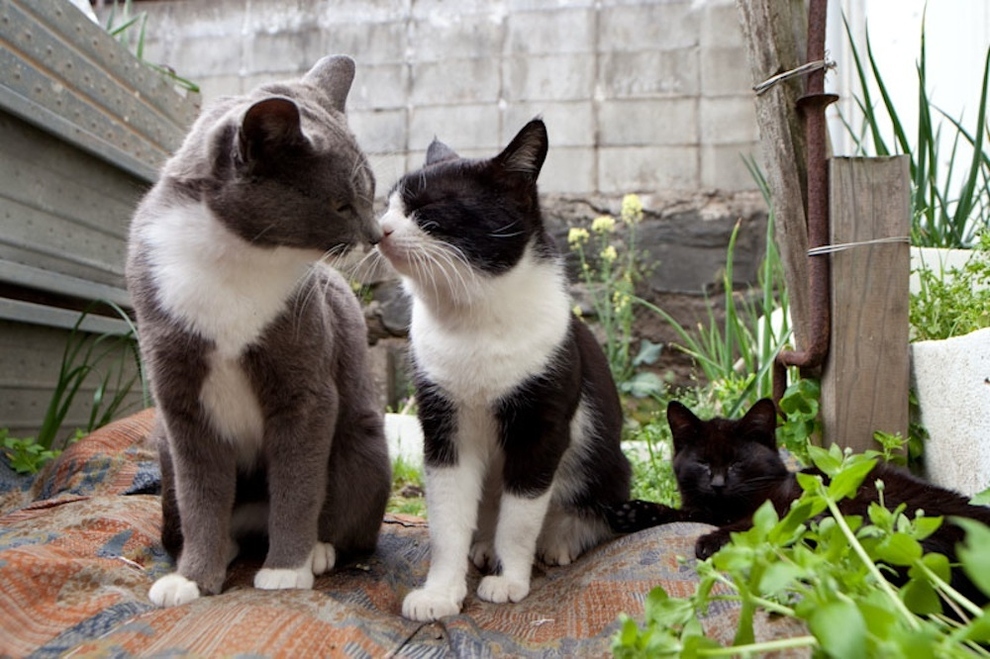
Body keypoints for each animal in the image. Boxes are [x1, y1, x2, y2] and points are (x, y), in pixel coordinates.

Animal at [130, 56, 394, 608]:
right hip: (161, 449)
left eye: (370, 192)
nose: (376, 234)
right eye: (341, 204)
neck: (236, 257)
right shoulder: (180, 400)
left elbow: (298, 482)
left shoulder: (305, 385)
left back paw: (319, 550)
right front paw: (193, 578)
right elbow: (201, 493)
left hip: (364, 443)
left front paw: (287, 569)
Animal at [376, 120, 632, 624]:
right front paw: (441, 592)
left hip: (607, 465)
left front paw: (511, 581)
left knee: (592, 508)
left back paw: (559, 539)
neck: (473, 320)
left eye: (427, 207)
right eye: (390, 203)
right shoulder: (443, 424)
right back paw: (481, 545)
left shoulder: (541, 426)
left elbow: (520, 517)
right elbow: (446, 519)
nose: (380, 228)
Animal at [604, 400, 990, 604]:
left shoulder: (784, 502)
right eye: (702, 463)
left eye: (737, 463)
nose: (717, 483)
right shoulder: (700, 508)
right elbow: (679, 512)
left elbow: (756, 523)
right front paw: (632, 512)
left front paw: (713, 541)